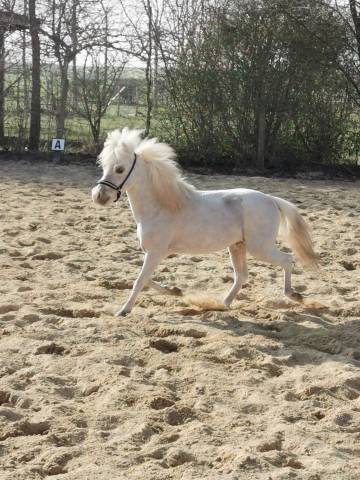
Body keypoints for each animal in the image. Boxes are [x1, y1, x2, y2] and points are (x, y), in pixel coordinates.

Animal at [92, 128, 318, 316]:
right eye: (103, 166)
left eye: (120, 169)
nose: (99, 196)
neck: (161, 206)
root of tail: (271, 199)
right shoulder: (154, 253)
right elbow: (146, 280)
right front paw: (176, 291)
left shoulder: (155, 252)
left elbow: (139, 280)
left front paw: (123, 311)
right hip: (237, 246)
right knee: (241, 276)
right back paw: (223, 304)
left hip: (260, 248)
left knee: (287, 260)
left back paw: (293, 295)